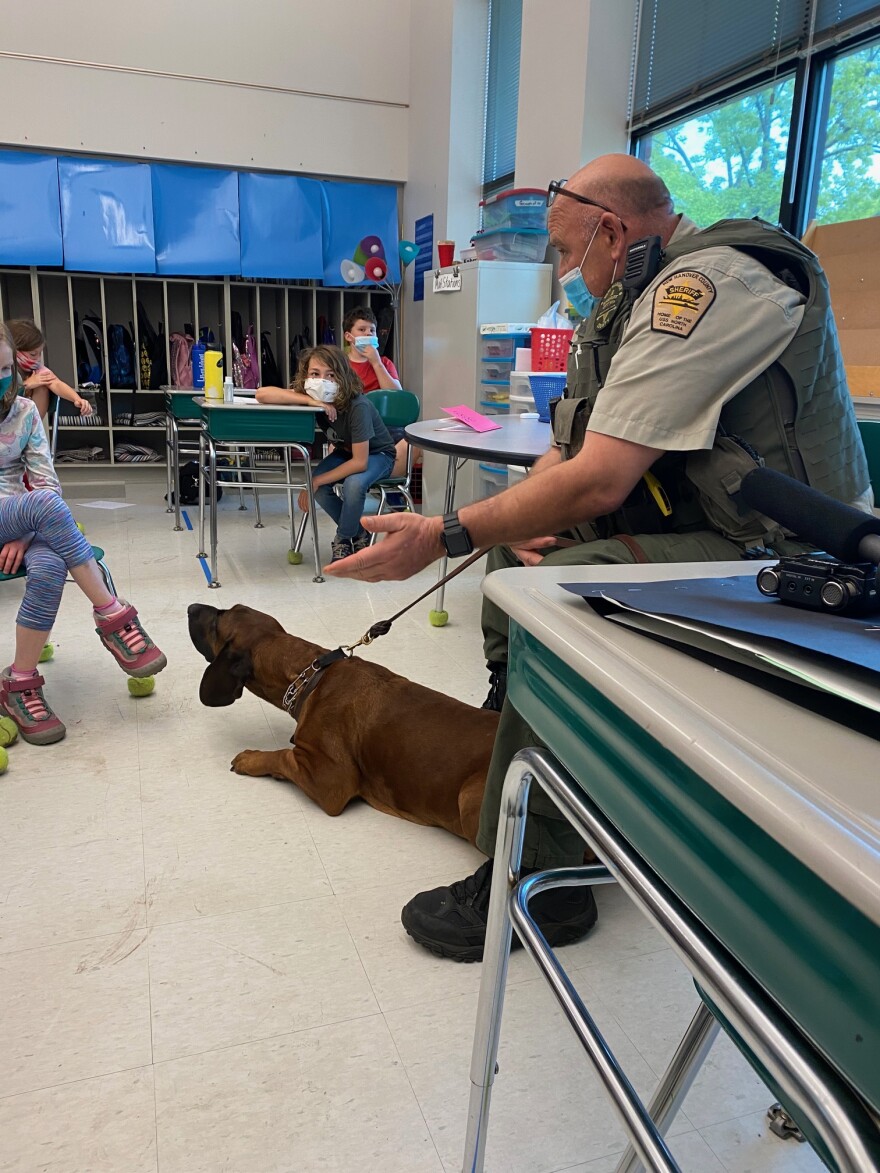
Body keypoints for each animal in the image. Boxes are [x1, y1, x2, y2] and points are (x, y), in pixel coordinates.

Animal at [188, 605, 499, 844]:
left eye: (216, 621)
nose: (191, 607)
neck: (311, 677)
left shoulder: (328, 780)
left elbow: (281, 757)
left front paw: (251, 758)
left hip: (469, 799)